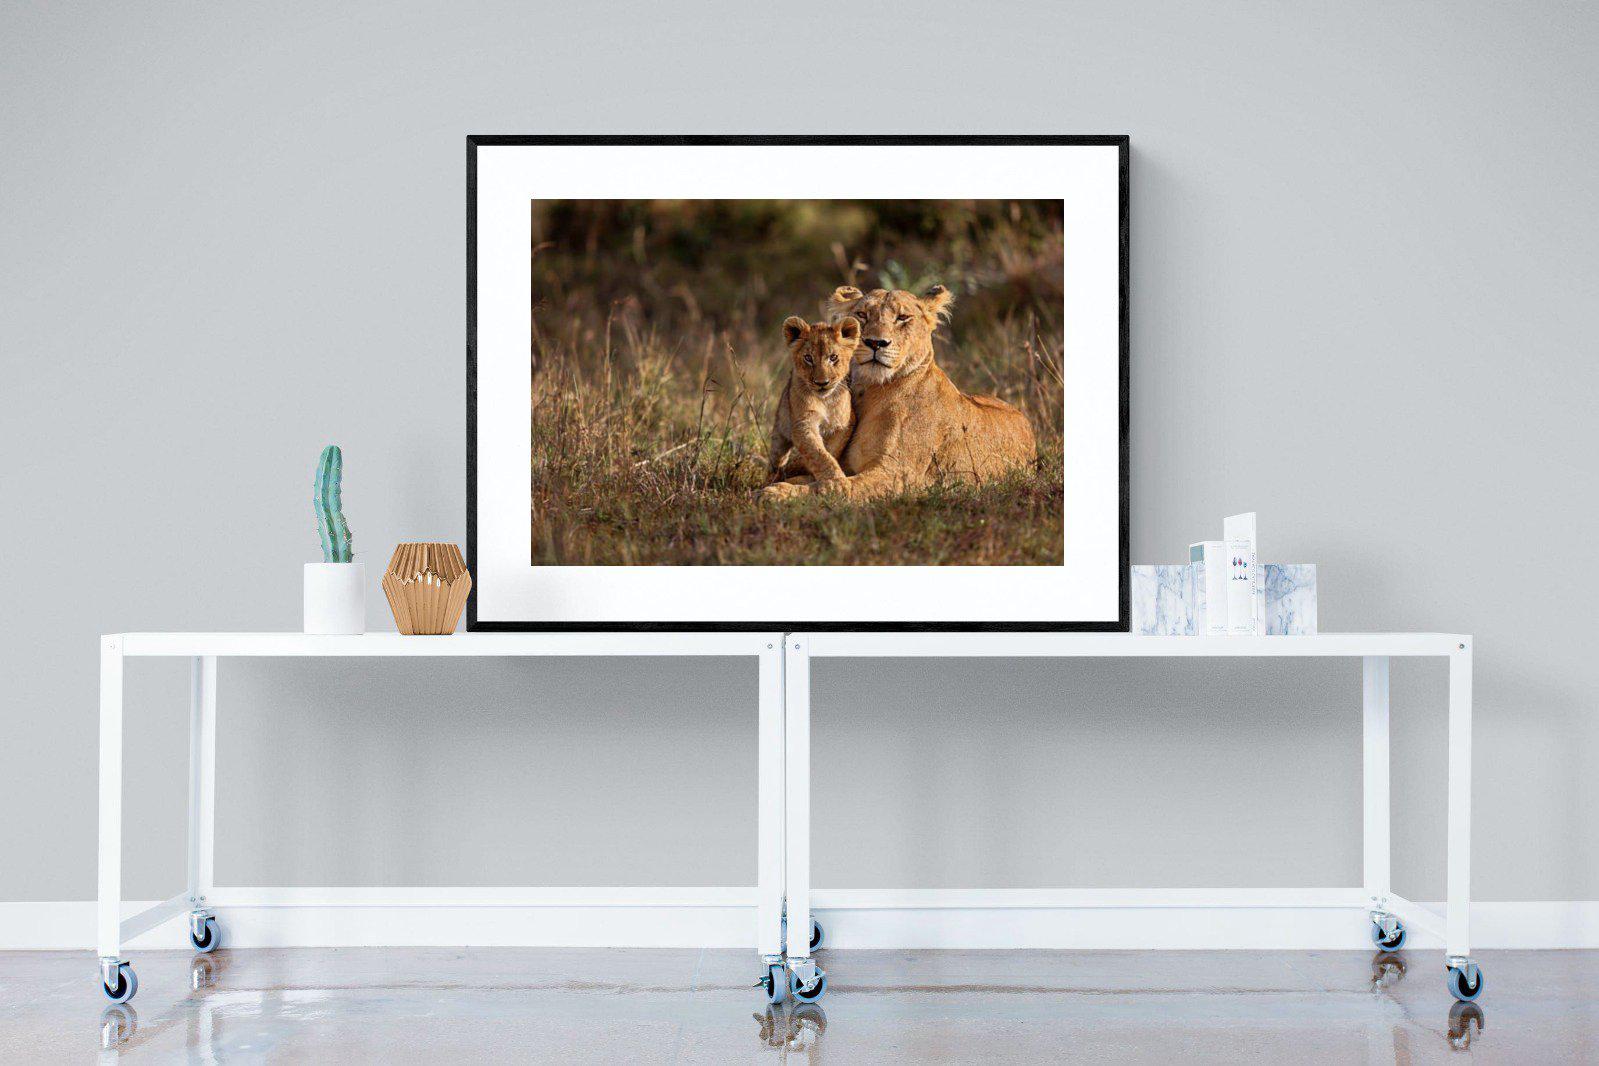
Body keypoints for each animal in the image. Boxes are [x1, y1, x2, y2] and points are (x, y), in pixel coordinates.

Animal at [764, 316, 858, 485]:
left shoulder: (845, 424)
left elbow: (830, 450)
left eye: (833, 357)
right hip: (779, 432)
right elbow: (818, 453)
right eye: (808, 358)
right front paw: (836, 481)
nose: (822, 383)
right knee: (776, 459)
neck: (825, 401)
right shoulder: (803, 423)